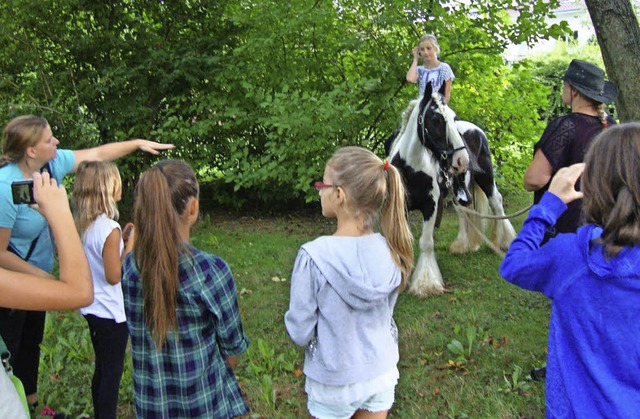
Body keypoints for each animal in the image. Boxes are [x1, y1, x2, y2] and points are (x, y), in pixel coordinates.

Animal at [384, 83, 516, 296]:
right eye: (436, 119)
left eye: (453, 118)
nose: (463, 160)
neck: (412, 167)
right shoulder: (401, 206)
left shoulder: (430, 205)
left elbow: (426, 242)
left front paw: (426, 283)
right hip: (457, 191)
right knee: (463, 211)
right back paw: (463, 245)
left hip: (486, 178)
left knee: (496, 202)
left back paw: (503, 240)